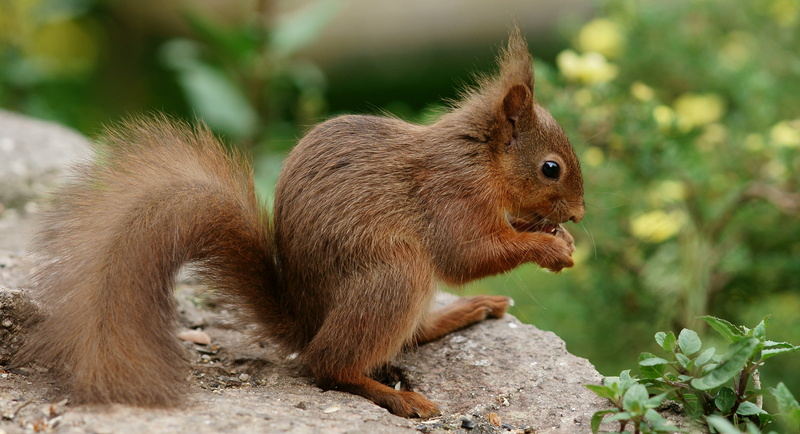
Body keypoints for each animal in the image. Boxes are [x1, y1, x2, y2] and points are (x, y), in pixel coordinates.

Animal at [17, 27, 584, 418]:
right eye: (550, 168)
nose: (579, 213)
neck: (480, 156)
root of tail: (304, 321)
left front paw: (560, 236)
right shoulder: (450, 194)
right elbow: (466, 253)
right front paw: (552, 248)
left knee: (405, 337)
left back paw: (464, 312)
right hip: (395, 276)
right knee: (328, 366)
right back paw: (398, 398)